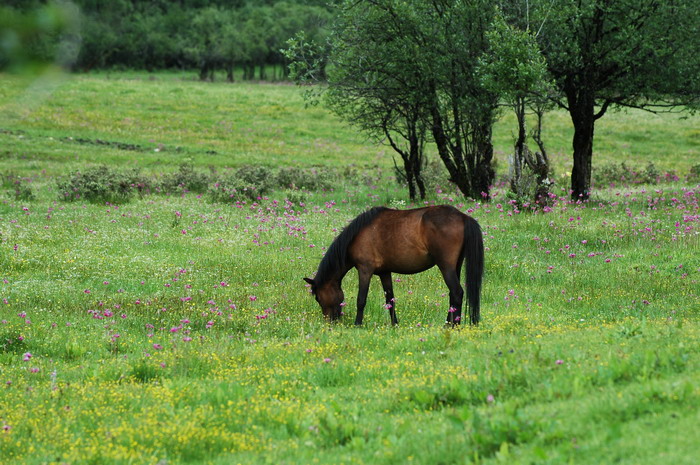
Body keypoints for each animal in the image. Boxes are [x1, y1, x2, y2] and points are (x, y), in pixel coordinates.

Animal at [304, 205, 484, 324]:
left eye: (318, 298)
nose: (329, 322)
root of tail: (463, 217)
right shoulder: (385, 272)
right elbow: (390, 300)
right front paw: (394, 324)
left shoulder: (365, 270)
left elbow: (361, 299)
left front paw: (357, 324)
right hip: (456, 266)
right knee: (453, 296)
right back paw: (450, 323)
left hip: (446, 266)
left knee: (457, 293)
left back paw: (453, 326)